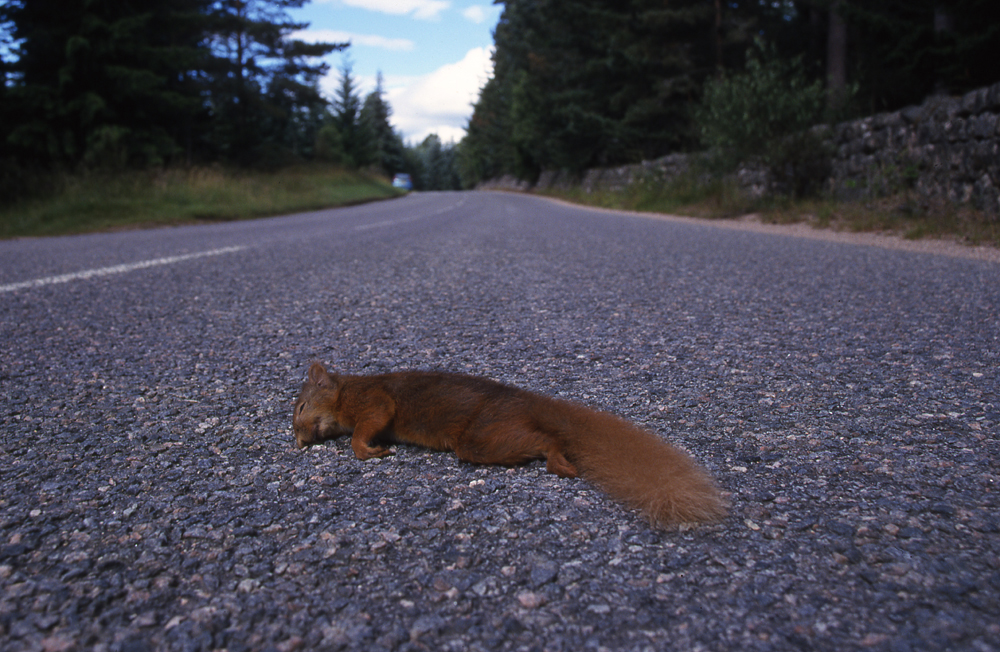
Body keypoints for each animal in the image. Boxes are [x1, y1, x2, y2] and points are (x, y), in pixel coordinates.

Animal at [293, 361, 727, 527]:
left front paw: (368, 450)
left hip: (483, 437)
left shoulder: (372, 402)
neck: (345, 392)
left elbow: (367, 428)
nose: (298, 441)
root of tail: (527, 402)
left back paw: (559, 461)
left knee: (547, 439)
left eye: (299, 406)